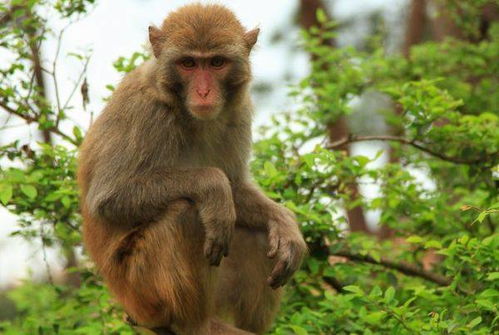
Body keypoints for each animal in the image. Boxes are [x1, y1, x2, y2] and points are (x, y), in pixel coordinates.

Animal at [77, 3, 306, 335]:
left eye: (216, 63)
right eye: (188, 63)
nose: (204, 93)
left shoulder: (239, 112)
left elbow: (237, 186)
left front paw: (285, 222)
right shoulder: (146, 112)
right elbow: (109, 197)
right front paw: (213, 186)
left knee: (257, 233)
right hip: (141, 290)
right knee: (186, 213)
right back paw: (193, 324)